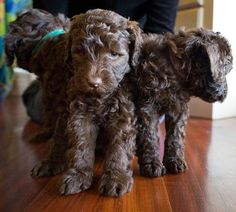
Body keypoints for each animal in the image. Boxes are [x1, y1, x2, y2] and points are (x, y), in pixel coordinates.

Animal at [5, 8, 141, 197]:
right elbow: (79, 142)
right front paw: (77, 174)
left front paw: (116, 178)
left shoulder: (122, 112)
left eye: (114, 54)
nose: (93, 82)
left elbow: (119, 146)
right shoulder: (72, 109)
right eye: (80, 52)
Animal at [134, 28, 233, 177]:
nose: (226, 92)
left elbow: (176, 135)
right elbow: (149, 135)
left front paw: (175, 161)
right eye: (227, 67)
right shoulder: (147, 106)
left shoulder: (179, 109)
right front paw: (152, 164)